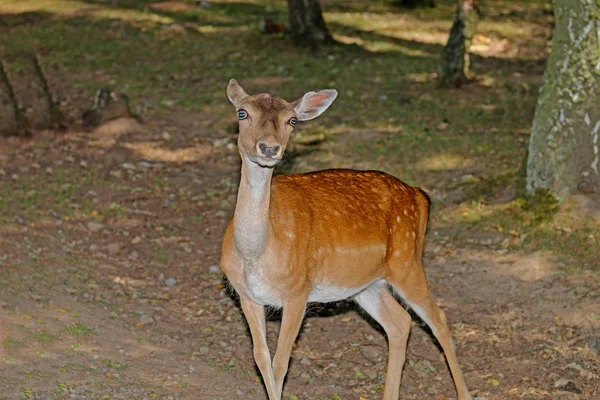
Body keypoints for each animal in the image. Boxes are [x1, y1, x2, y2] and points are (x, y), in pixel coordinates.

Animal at [220, 79, 474, 400]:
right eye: (242, 113)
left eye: (292, 120)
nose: (269, 147)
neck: (256, 254)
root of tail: (421, 196)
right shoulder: (246, 295)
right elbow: (261, 359)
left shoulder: (298, 292)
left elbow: (281, 364)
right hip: (367, 284)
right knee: (400, 323)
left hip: (407, 261)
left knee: (438, 319)